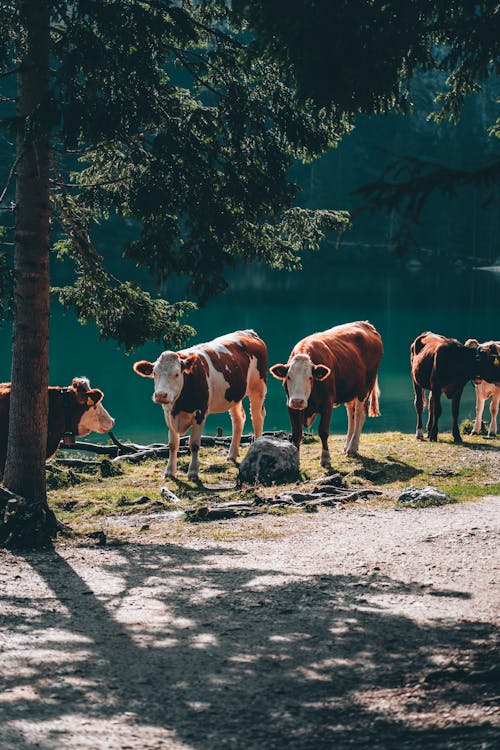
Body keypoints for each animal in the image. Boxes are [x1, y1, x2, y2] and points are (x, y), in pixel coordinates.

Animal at [132, 330, 266, 482]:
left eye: (176, 374)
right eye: (155, 373)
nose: (161, 395)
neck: (180, 405)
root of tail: (248, 332)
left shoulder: (200, 413)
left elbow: (194, 444)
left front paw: (193, 473)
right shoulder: (168, 414)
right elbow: (172, 444)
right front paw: (169, 472)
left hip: (258, 388)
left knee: (257, 418)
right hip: (233, 395)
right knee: (238, 419)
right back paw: (232, 455)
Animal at [270, 322, 382, 464]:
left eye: (310, 378)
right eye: (288, 377)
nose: (298, 401)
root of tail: (366, 324)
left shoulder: (327, 403)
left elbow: (323, 431)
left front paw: (325, 458)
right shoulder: (290, 406)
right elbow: (296, 433)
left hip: (365, 388)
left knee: (359, 415)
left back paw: (352, 447)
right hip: (350, 391)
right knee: (351, 416)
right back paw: (347, 446)